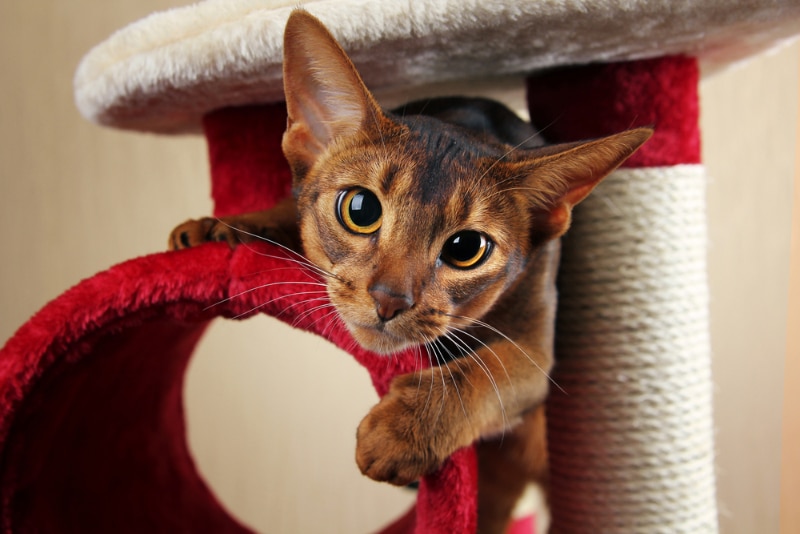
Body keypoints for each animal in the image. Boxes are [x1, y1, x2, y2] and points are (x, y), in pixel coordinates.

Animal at [169, 9, 648, 534]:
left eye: (466, 248)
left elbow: (482, 374)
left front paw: (401, 433)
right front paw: (220, 227)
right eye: (359, 209)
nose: (389, 300)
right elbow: (285, 210)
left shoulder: (535, 347)